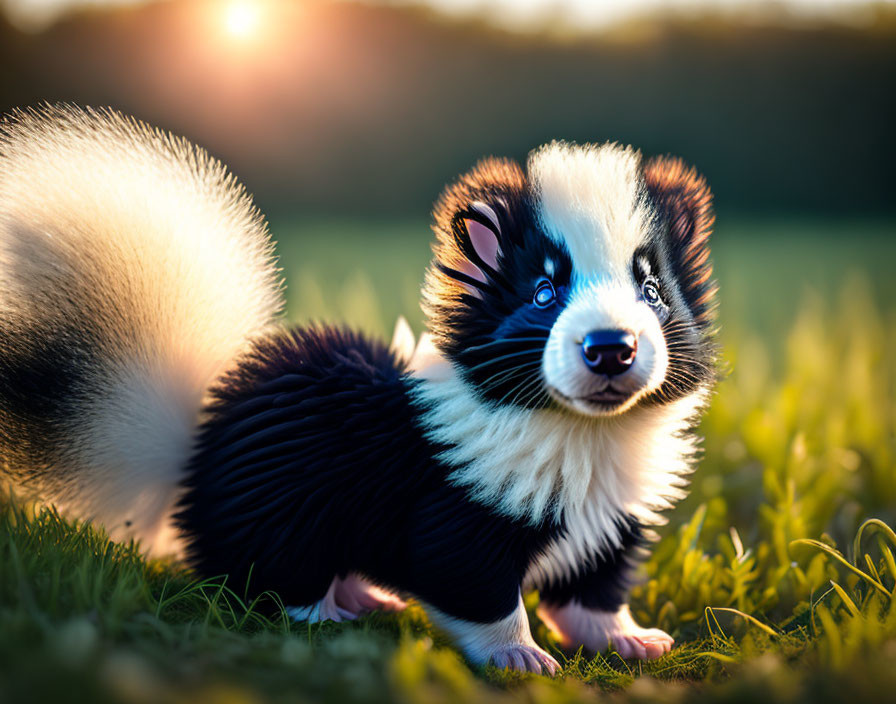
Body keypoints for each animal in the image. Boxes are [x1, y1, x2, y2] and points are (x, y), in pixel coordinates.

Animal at [0, 106, 712, 676]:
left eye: (653, 291)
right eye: (543, 293)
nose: (611, 347)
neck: (582, 435)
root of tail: (191, 450)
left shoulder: (611, 517)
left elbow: (594, 592)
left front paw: (627, 638)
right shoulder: (455, 510)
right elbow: (473, 583)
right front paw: (518, 653)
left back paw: (363, 594)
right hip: (283, 505)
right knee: (268, 574)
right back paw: (325, 613)